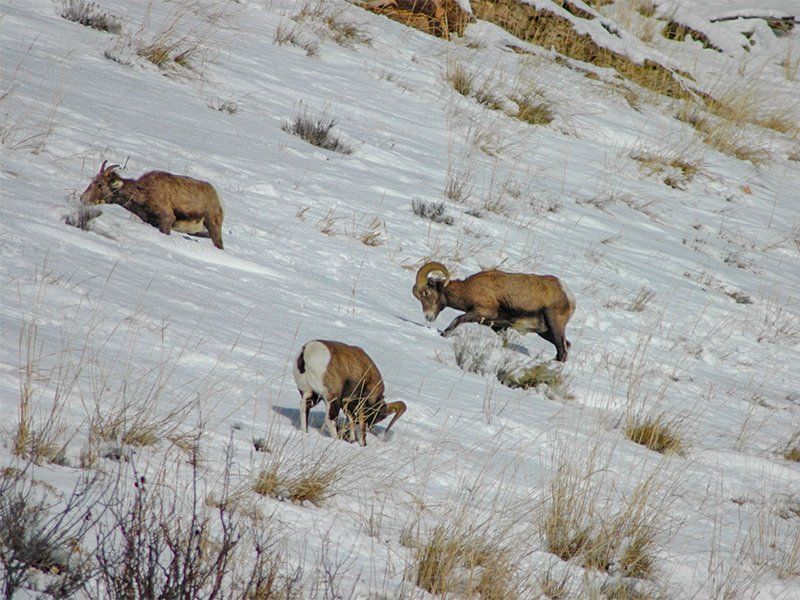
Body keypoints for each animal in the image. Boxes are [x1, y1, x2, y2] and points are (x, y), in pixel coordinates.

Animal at [80, 161, 225, 249]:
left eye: (101, 184)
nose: (83, 198)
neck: (144, 194)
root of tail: (218, 199)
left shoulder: (166, 219)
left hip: (213, 226)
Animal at [412, 261, 576, 362]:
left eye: (426, 293)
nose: (428, 317)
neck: (467, 290)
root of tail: (568, 295)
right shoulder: (498, 327)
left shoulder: (481, 312)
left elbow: (457, 320)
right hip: (545, 332)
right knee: (565, 346)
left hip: (554, 326)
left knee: (562, 350)